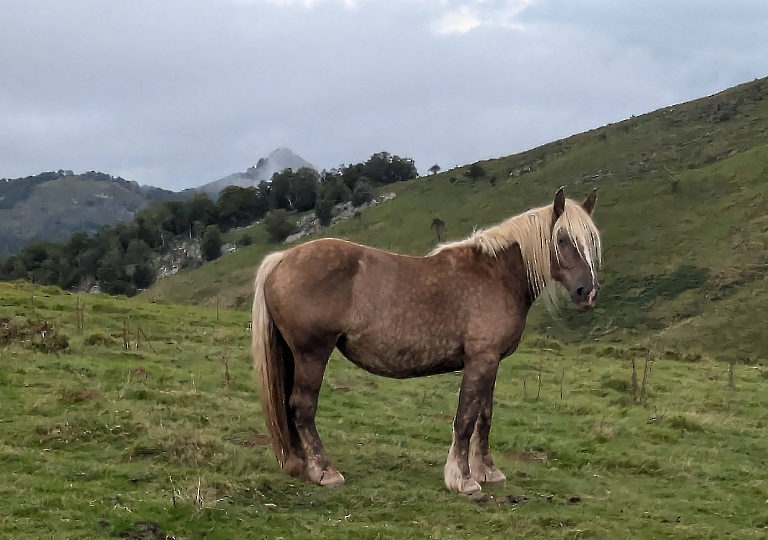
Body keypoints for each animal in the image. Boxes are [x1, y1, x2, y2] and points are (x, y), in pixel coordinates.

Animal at [250, 188, 600, 496]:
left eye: (591, 241)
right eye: (562, 239)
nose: (587, 292)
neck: (496, 274)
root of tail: (281, 259)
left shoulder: (491, 361)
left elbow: (484, 416)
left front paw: (488, 470)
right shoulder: (480, 359)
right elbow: (465, 418)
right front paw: (463, 479)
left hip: (293, 356)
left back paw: (300, 465)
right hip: (312, 354)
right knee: (302, 408)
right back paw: (325, 471)